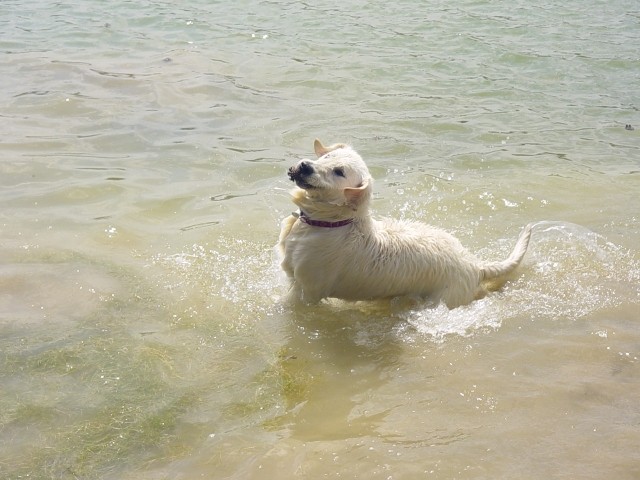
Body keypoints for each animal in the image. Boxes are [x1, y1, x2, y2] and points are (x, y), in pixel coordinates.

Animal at [278, 141, 532, 310]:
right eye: (327, 158)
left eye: (339, 172)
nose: (305, 166)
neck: (330, 222)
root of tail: (475, 264)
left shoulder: (307, 291)